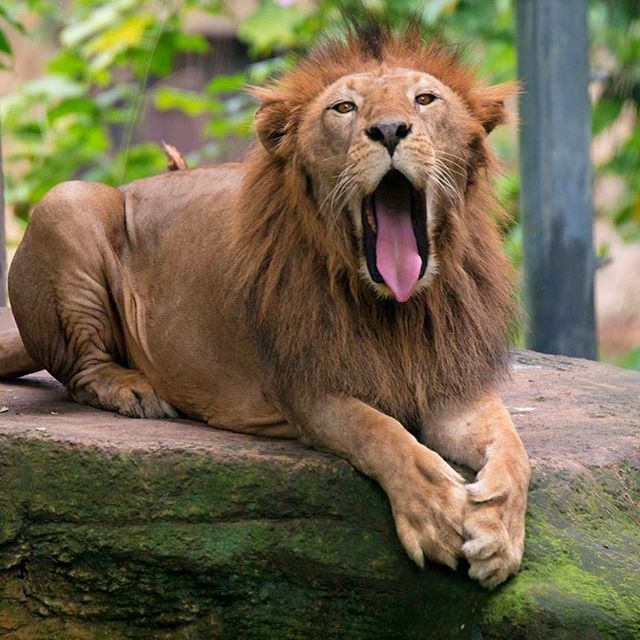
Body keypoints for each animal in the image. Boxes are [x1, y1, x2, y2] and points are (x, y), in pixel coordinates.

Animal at [1, 20, 528, 592]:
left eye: (425, 99)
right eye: (344, 108)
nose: (390, 130)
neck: (396, 309)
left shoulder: (453, 381)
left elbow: (513, 450)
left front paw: (498, 529)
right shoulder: (307, 388)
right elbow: (382, 433)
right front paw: (434, 512)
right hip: (67, 202)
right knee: (80, 370)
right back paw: (134, 390)